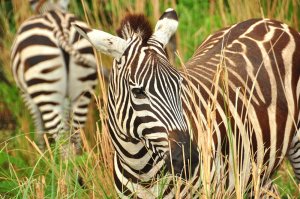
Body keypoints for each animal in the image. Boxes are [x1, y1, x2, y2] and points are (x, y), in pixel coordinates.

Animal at [10, 0, 97, 155]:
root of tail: (60, 28)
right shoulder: (66, 99)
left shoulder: (26, 95)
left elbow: (39, 127)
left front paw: (42, 153)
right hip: (82, 91)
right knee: (75, 137)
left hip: (44, 89)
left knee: (64, 145)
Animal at [75, 7, 300, 197]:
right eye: (138, 91)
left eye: (180, 85)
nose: (189, 158)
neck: (141, 169)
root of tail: (269, 21)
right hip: (255, 171)